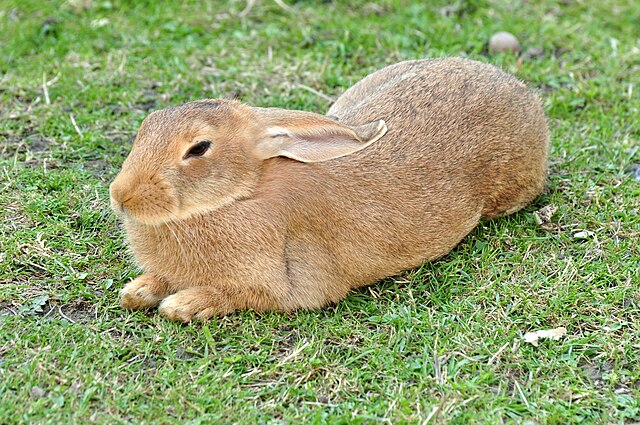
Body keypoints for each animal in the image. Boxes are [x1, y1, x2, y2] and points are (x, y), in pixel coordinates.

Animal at [111, 56, 552, 322]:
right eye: (147, 124)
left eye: (199, 148)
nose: (121, 196)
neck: (240, 194)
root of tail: (521, 92)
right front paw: (137, 292)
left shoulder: (281, 288)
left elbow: (234, 295)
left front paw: (181, 305)